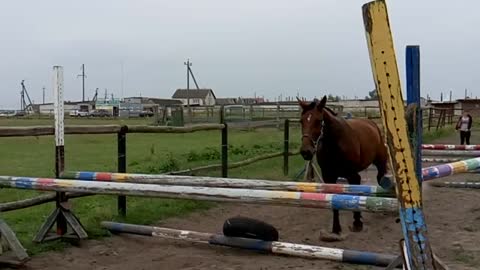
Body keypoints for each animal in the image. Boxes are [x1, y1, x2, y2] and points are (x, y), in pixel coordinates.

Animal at [298, 96, 388, 240]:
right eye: (301, 121)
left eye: (318, 121)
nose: (306, 151)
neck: (335, 143)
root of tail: (372, 124)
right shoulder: (329, 177)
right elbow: (335, 201)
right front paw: (336, 229)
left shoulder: (352, 175)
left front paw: (357, 223)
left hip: (380, 163)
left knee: (381, 179)